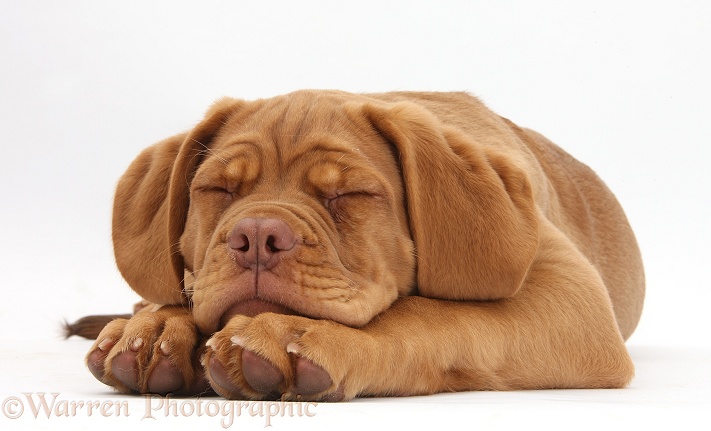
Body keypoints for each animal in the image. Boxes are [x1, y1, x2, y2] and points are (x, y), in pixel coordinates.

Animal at [72, 90, 644, 402]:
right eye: (219, 190)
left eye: (348, 194)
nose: (255, 236)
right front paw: (160, 324)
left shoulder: (571, 296)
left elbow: (428, 314)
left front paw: (295, 334)